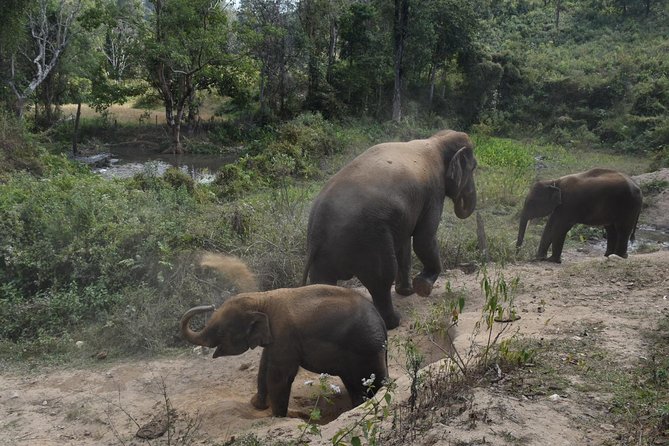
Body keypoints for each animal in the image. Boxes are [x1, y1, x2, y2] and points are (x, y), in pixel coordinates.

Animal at [180, 286, 388, 418]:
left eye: (221, 331)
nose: (210, 305)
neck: (261, 298)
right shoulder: (275, 338)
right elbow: (264, 367)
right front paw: (257, 405)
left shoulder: (285, 334)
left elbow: (279, 375)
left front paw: (277, 416)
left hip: (366, 352)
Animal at [300, 131, 478, 330]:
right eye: (474, 167)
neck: (436, 141)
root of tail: (317, 230)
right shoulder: (434, 192)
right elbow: (424, 238)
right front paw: (423, 286)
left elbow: (405, 243)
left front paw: (407, 292)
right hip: (369, 240)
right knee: (381, 278)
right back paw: (394, 321)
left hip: (326, 256)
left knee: (324, 283)